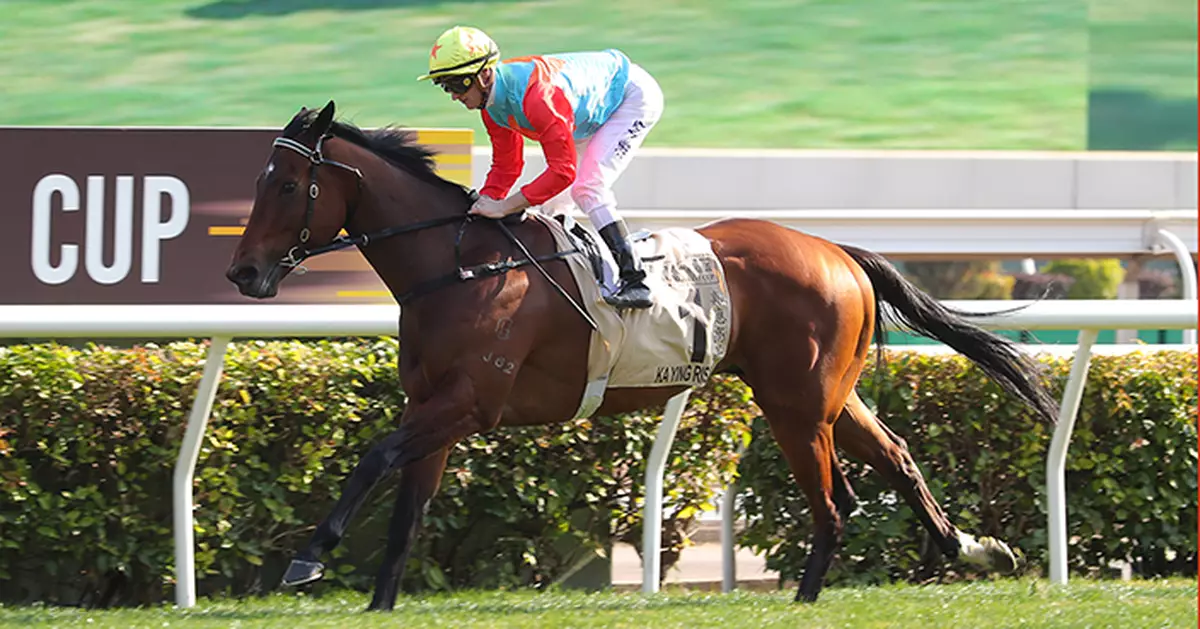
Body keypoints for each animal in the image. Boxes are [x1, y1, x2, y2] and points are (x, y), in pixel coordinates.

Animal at [224, 100, 1058, 611]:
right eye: (260, 181)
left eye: (288, 183)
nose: (244, 273)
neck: (457, 267)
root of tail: (837, 250)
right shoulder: (432, 404)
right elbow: (407, 506)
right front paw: (379, 600)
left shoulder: (468, 403)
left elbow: (372, 458)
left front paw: (309, 556)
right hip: (826, 394)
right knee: (895, 456)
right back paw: (971, 548)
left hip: (796, 404)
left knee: (834, 501)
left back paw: (811, 595)